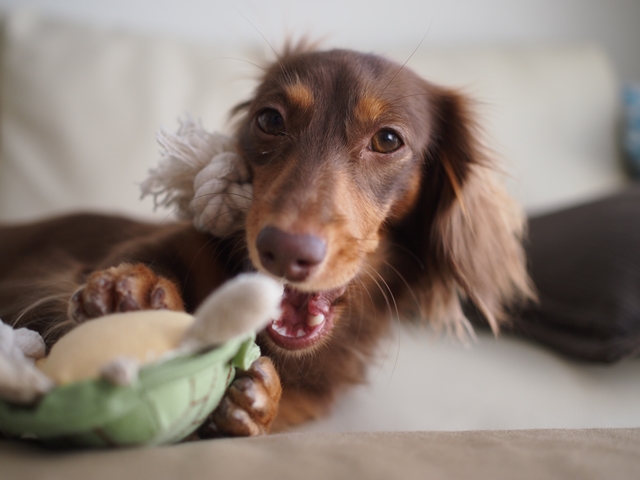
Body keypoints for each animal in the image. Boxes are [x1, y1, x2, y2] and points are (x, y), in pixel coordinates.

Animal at [0, 46, 532, 438]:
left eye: (387, 140)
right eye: (270, 120)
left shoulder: (315, 398)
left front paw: (252, 404)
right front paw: (132, 291)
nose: (284, 251)